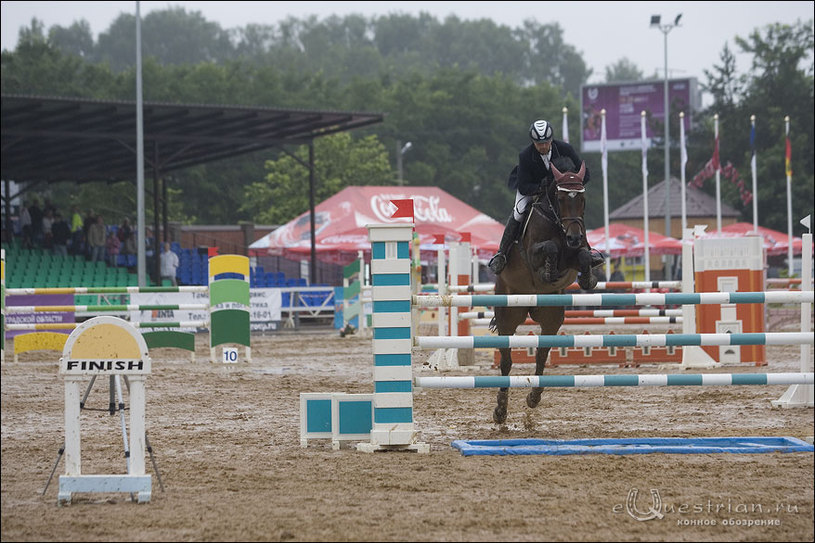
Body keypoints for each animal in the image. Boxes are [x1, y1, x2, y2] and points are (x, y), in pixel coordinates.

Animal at [490, 157, 600, 424]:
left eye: (582, 199)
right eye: (560, 198)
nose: (574, 236)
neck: (556, 221)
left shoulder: (574, 254)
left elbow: (583, 256)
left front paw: (587, 278)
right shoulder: (533, 253)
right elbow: (549, 248)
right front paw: (548, 272)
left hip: (551, 317)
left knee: (541, 354)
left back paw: (534, 397)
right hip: (508, 316)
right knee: (506, 361)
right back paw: (501, 410)